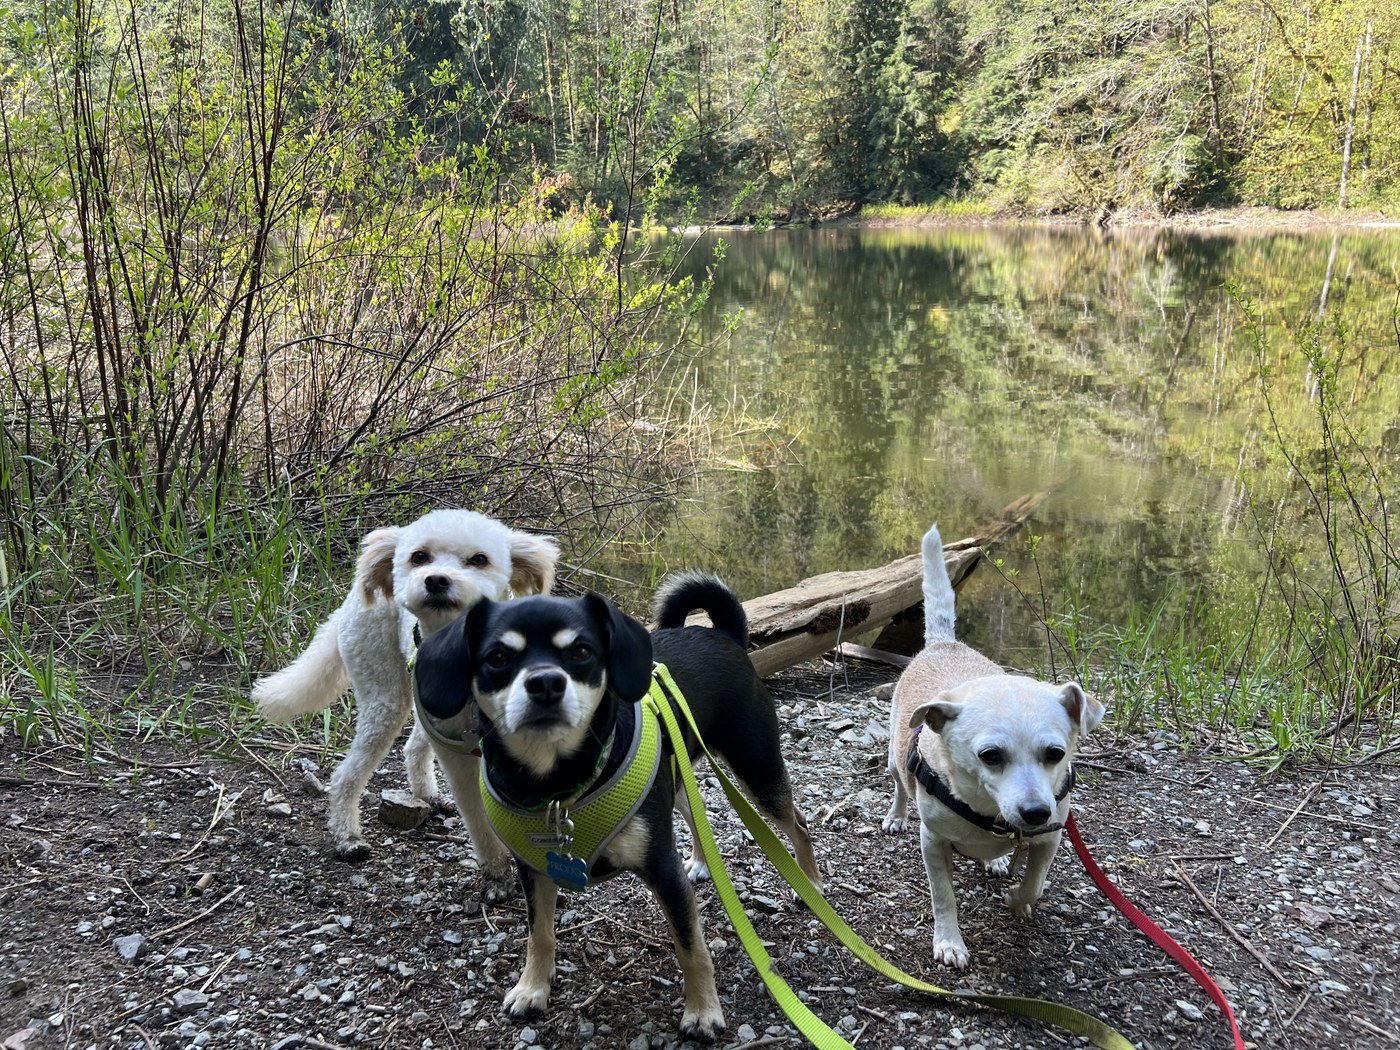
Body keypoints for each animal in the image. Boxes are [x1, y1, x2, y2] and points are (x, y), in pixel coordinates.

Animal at [251, 508, 559, 896]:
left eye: (479, 560)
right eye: (419, 557)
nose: (437, 580)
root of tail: (354, 596)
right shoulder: (460, 754)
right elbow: (478, 814)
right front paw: (498, 874)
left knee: (413, 747)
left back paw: (427, 795)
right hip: (386, 698)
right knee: (348, 774)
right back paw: (347, 835)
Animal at [413, 571, 821, 1041]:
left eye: (582, 651)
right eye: (497, 657)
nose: (546, 683)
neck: (558, 786)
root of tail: (723, 635)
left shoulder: (663, 870)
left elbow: (691, 945)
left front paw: (702, 1010)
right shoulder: (533, 869)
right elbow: (540, 933)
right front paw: (532, 986)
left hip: (756, 768)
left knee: (799, 824)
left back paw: (811, 884)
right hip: (677, 777)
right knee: (697, 812)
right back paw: (702, 863)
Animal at [882, 522, 1104, 969]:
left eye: (1056, 754)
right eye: (990, 756)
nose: (1036, 812)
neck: (989, 813)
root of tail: (943, 644)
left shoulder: (1050, 838)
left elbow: (1036, 881)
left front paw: (1018, 900)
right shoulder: (933, 843)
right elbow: (943, 897)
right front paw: (949, 941)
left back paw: (997, 858)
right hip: (897, 758)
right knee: (898, 785)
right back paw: (897, 815)